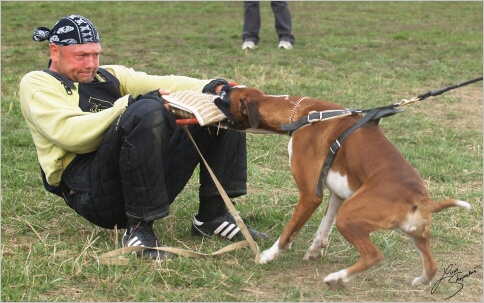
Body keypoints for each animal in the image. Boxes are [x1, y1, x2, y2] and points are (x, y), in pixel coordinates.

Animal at [216, 86, 472, 290]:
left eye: (226, 96)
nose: (215, 92)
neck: (303, 114)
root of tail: (417, 196)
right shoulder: (337, 194)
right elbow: (323, 227)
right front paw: (315, 250)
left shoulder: (310, 195)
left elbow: (289, 230)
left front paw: (269, 255)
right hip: (416, 234)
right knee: (432, 265)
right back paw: (420, 281)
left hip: (348, 216)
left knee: (373, 255)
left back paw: (337, 278)